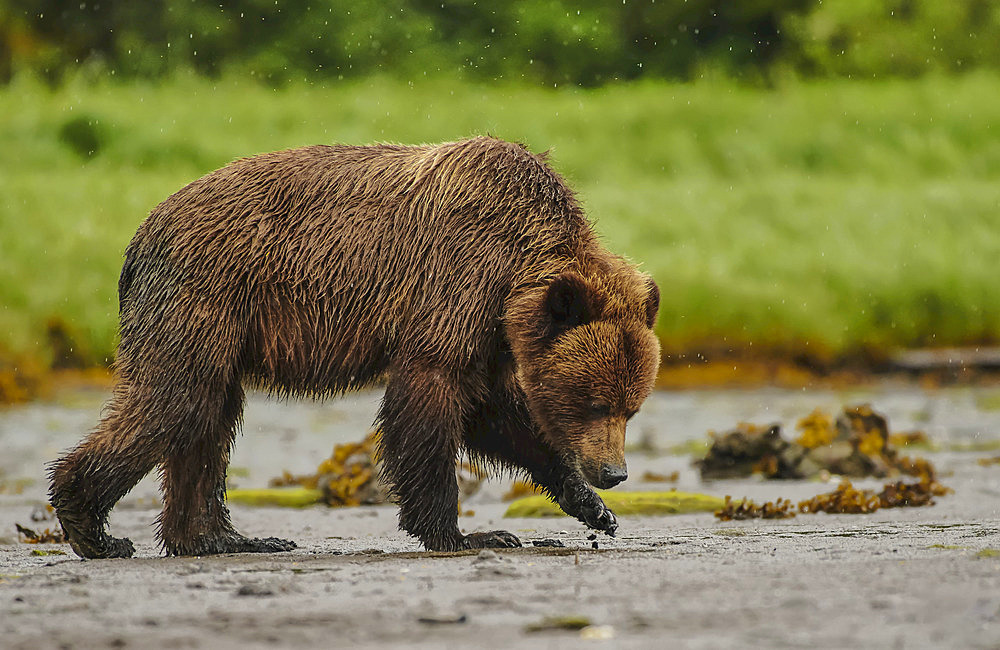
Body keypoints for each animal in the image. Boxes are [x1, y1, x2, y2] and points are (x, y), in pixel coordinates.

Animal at [52, 134, 664, 556]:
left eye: (631, 408)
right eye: (593, 403)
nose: (614, 473)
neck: (514, 265)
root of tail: (140, 235)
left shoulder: (492, 330)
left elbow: (498, 416)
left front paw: (594, 509)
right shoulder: (456, 284)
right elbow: (432, 402)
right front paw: (464, 533)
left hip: (222, 326)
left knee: (210, 419)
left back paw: (222, 538)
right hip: (202, 296)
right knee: (176, 399)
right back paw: (93, 528)